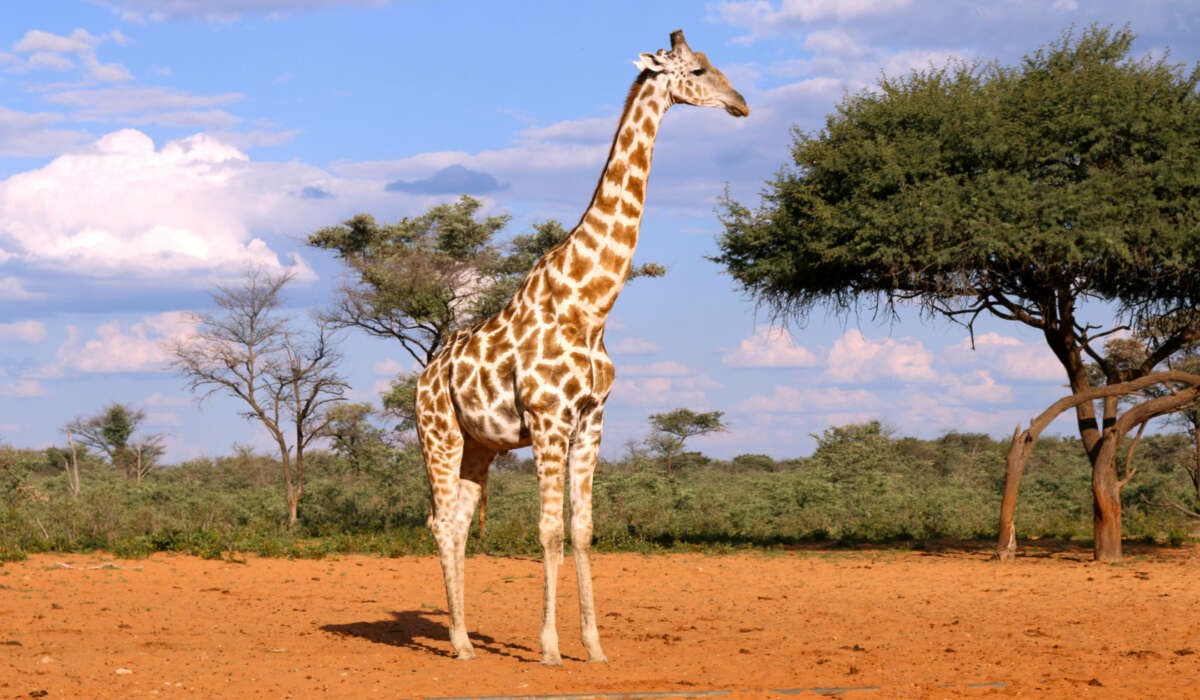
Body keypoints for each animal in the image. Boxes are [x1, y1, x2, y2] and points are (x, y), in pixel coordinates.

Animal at [417, 28, 744, 667]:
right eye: (697, 70)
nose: (741, 104)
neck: (590, 307)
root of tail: (419, 379)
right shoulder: (549, 420)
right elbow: (548, 532)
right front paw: (548, 648)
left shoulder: (591, 421)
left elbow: (584, 530)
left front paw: (594, 647)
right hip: (438, 436)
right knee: (441, 524)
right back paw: (461, 643)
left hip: (479, 446)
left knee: (459, 524)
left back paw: (463, 637)